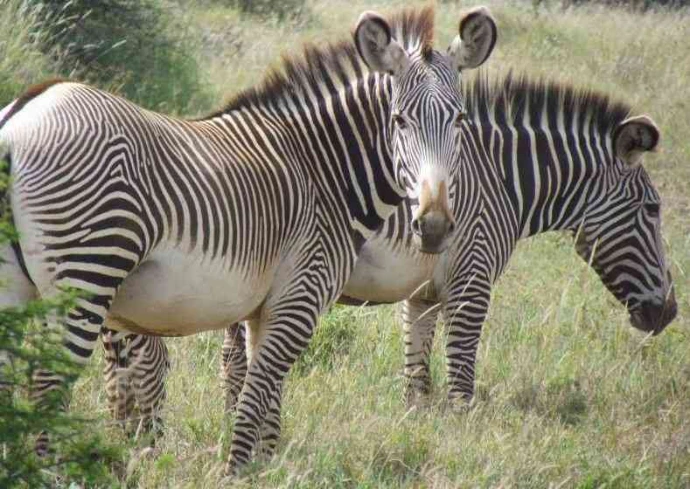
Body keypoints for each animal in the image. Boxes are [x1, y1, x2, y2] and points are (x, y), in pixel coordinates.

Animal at [0, 6, 498, 474]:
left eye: (460, 120)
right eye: (399, 120)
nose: (433, 227)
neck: (324, 173)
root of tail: (23, 114)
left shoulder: (266, 310)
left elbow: (268, 401)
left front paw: (264, 466)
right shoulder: (299, 297)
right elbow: (256, 394)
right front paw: (236, 470)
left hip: (18, 287)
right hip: (86, 274)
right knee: (46, 387)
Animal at [209, 73, 677, 412]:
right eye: (653, 209)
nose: (669, 313)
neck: (501, 180)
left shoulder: (423, 293)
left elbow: (417, 374)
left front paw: (416, 428)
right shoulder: (472, 279)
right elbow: (461, 372)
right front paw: (462, 434)